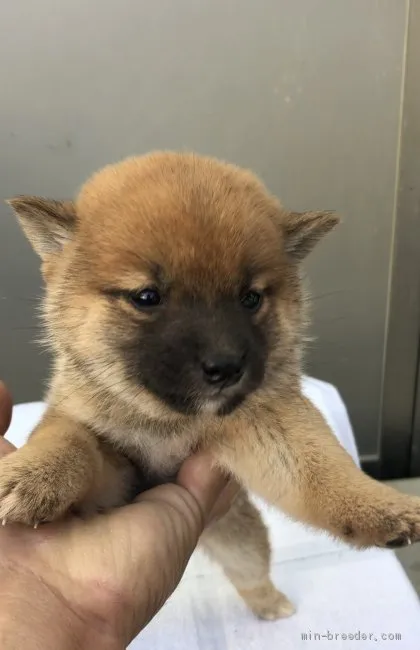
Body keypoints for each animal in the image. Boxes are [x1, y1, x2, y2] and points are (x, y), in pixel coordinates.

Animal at [3, 151, 420, 616]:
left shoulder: (268, 428)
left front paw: (382, 508)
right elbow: (69, 439)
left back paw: (272, 605)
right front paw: (33, 476)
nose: (226, 367)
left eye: (250, 298)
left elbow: (325, 468)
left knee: (252, 574)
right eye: (147, 297)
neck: (170, 423)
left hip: (242, 541)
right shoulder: (112, 466)